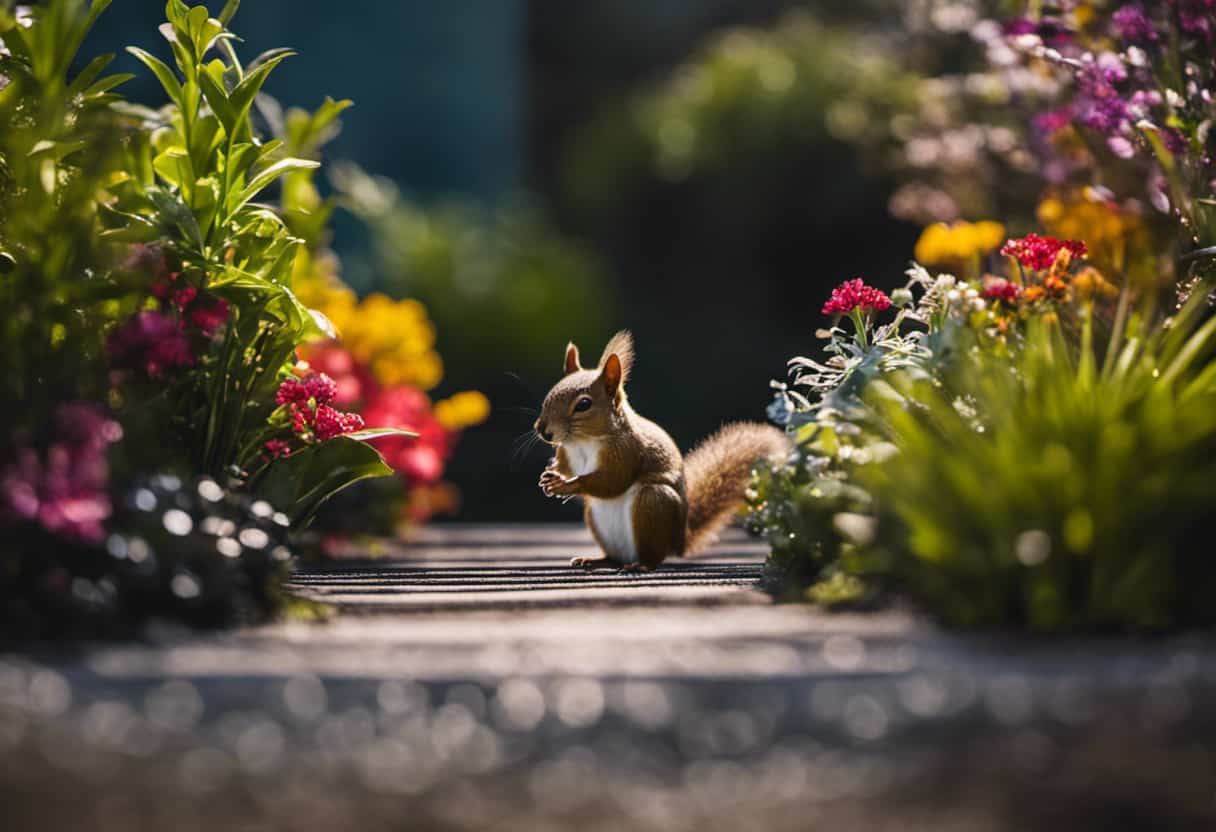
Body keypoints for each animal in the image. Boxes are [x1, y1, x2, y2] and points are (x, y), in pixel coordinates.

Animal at [535, 330, 787, 571]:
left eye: (584, 405)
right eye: (548, 396)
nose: (543, 430)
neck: (582, 442)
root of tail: (679, 541)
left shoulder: (627, 452)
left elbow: (612, 482)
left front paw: (567, 485)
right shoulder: (567, 453)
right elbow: (568, 468)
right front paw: (550, 474)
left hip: (653, 503)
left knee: (653, 555)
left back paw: (641, 565)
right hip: (595, 516)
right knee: (614, 557)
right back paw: (596, 560)